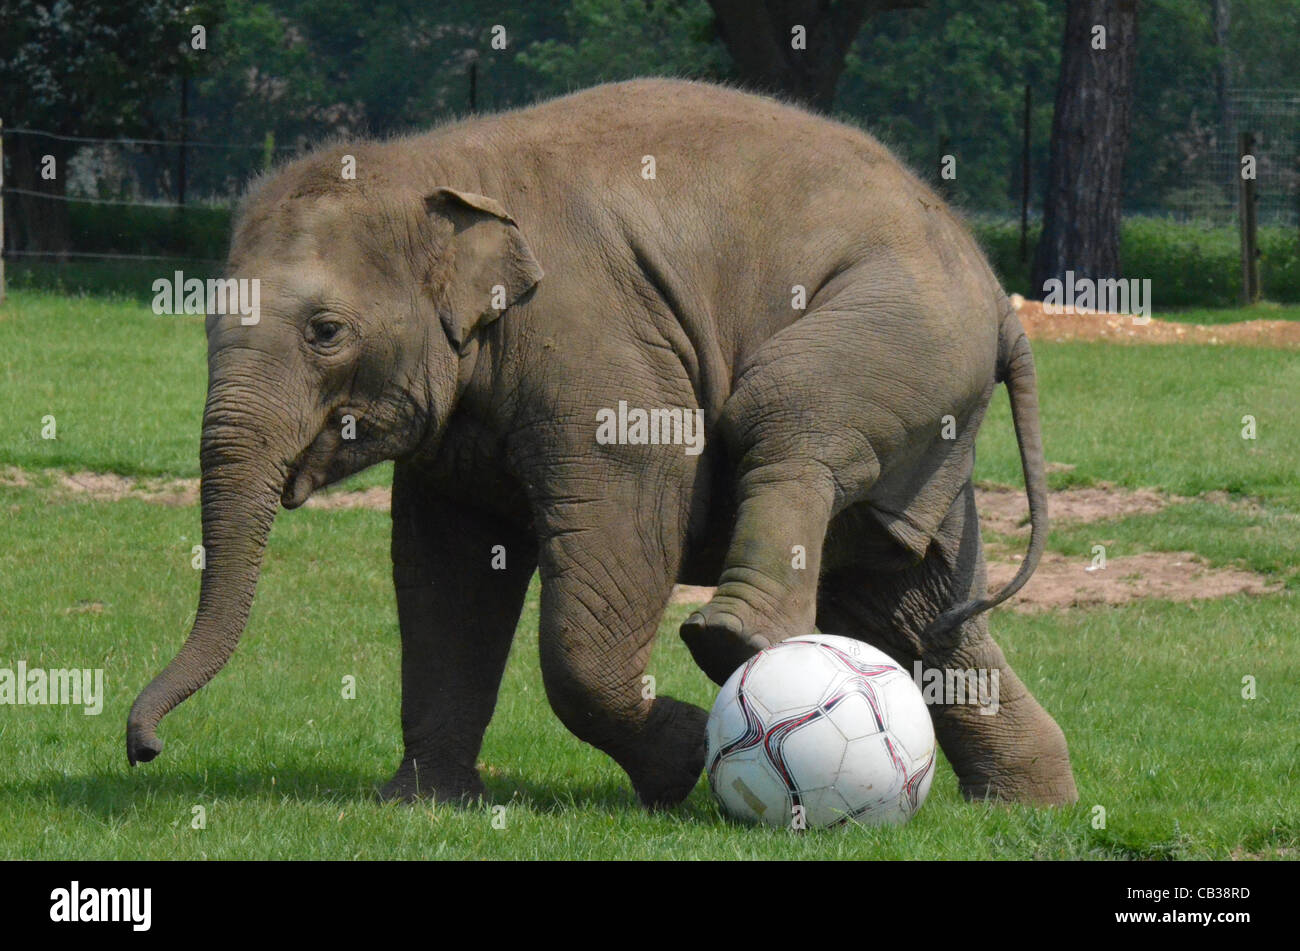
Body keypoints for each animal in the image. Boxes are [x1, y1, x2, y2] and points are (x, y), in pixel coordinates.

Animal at [124, 79, 1076, 810]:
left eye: (325, 332)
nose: (144, 747)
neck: (439, 164)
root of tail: (1000, 301)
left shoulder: (599, 349)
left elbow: (629, 518)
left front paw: (685, 757)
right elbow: (444, 566)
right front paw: (419, 804)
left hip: (901, 329)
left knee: (790, 415)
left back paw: (730, 643)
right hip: (929, 421)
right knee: (912, 601)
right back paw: (1032, 804)